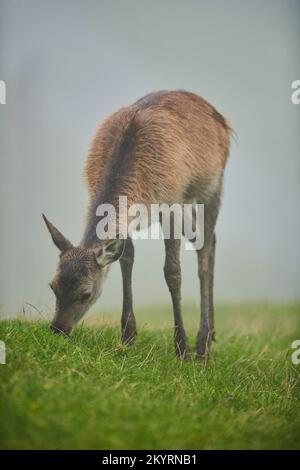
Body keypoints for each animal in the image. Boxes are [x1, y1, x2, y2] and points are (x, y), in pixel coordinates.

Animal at [43, 89, 231, 360]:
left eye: (86, 294)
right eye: (53, 286)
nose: (58, 329)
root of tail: (222, 120)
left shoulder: (170, 203)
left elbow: (172, 271)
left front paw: (182, 348)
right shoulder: (126, 219)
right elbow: (126, 259)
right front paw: (128, 337)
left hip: (212, 184)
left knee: (205, 246)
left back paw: (203, 344)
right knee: (207, 239)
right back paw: (213, 333)